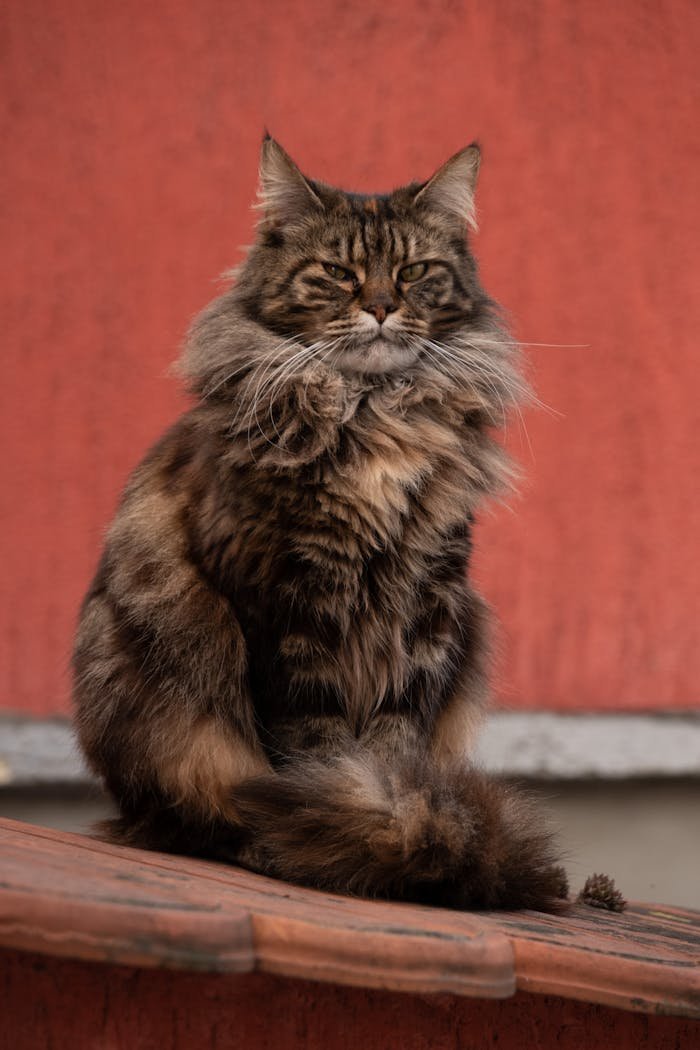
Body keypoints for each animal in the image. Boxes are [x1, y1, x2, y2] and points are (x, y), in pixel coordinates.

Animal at [73, 137, 566, 911]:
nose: (383, 307)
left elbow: (396, 742)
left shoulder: (427, 602)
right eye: (338, 274)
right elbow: (314, 745)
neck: (375, 411)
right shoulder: (287, 600)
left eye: (414, 272)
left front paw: (394, 821)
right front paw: (356, 827)